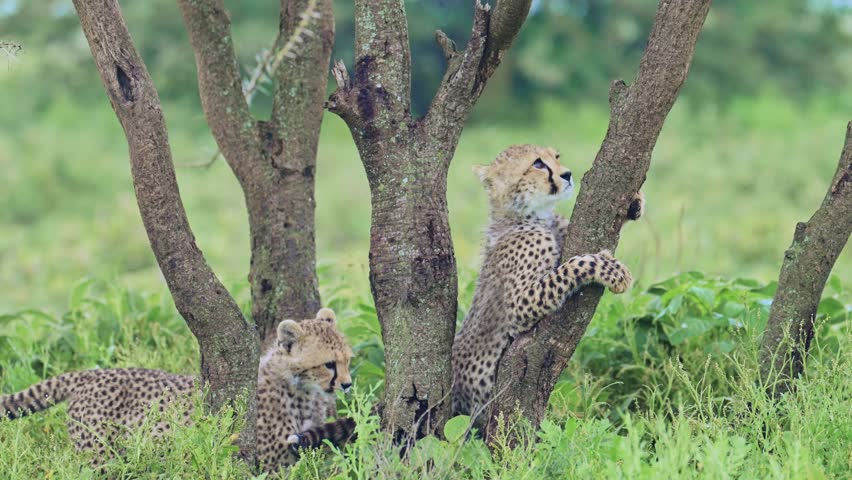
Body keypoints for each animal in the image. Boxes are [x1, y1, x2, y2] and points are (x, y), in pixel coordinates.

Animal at [0, 307, 353, 472]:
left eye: (348, 360)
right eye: (329, 364)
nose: (348, 384)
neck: (299, 389)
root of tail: (91, 373)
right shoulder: (268, 463)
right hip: (99, 458)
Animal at [451, 144, 644, 426]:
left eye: (556, 157)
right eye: (538, 165)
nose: (567, 174)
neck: (531, 216)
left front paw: (635, 203)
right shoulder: (519, 307)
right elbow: (574, 265)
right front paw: (612, 271)